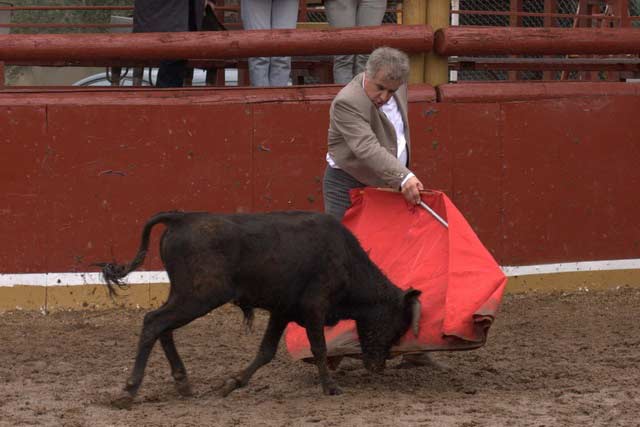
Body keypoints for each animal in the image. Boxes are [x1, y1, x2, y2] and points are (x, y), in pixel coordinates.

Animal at [96, 212, 420, 410]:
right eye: (396, 325)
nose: (378, 366)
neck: (347, 261)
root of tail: (181, 217)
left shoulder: (282, 311)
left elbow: (266, 351)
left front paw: (233, 383)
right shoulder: (314, 307)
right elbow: (318, 347)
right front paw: (330, 387)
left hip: (185, 296)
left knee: (164, 328)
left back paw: (183, 383)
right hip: (198, 297)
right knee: (154, 322)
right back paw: (129, 391)